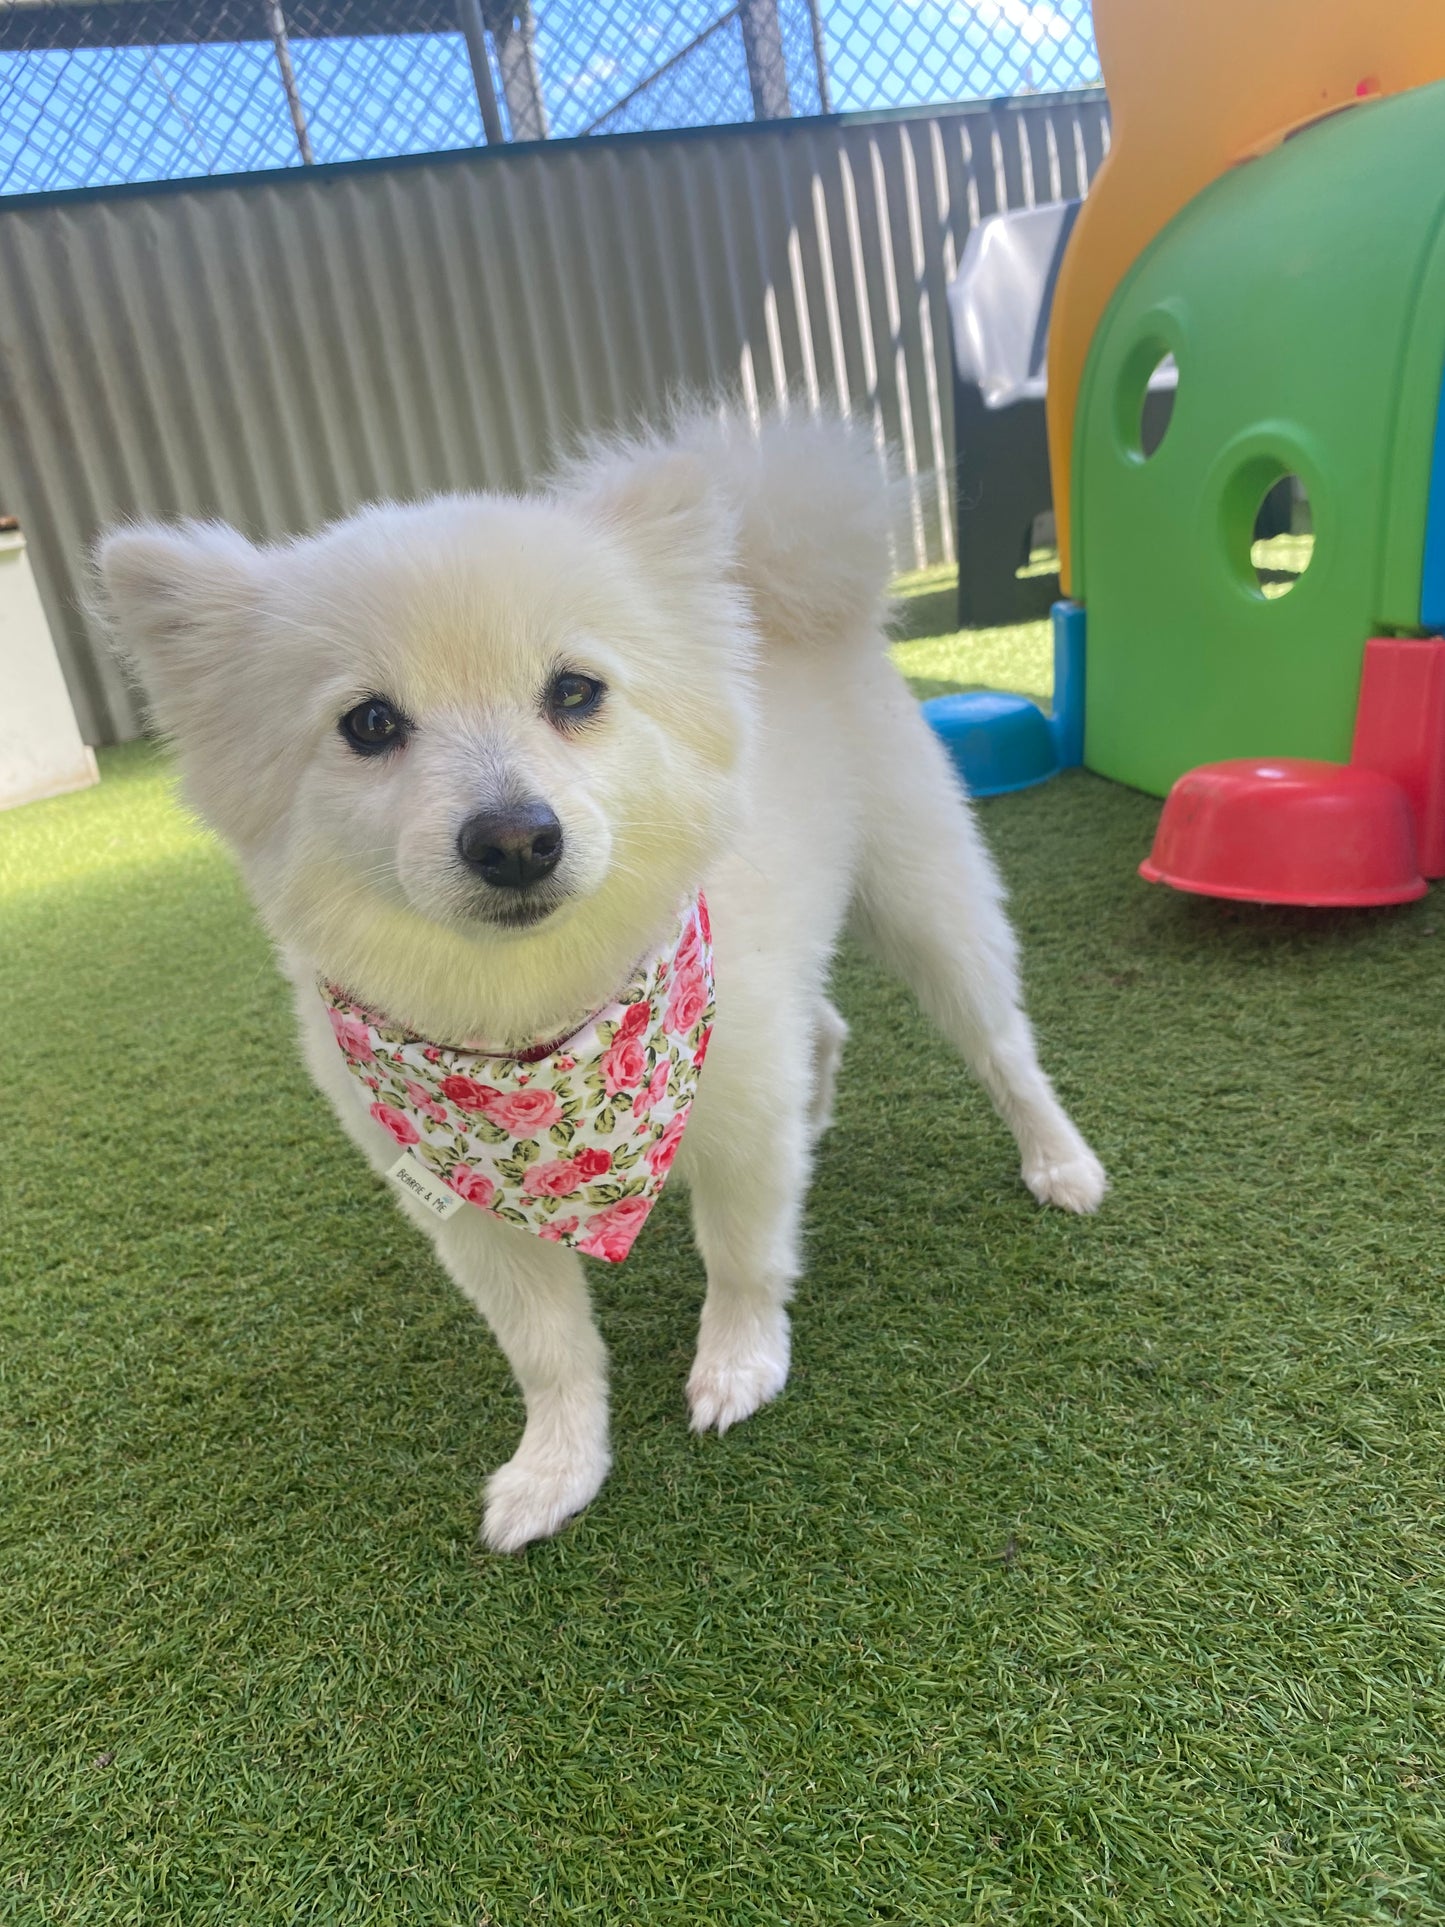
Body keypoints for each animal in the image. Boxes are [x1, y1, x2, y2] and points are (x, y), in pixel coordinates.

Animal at [102, 418, 1109, 1549]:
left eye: (574, 691)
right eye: (367, 724)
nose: (514, 838)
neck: (535, 1015)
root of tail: (786, 597)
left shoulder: (731, 1108)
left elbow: (742, 1255)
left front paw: (739, 1363)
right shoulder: (471, 1207)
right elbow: (548, 1349)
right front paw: (557, 1465)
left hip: (926, 900)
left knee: (1001, 1047)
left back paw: (1059, 1163)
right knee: (825, 1024)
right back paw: (821, 1112)